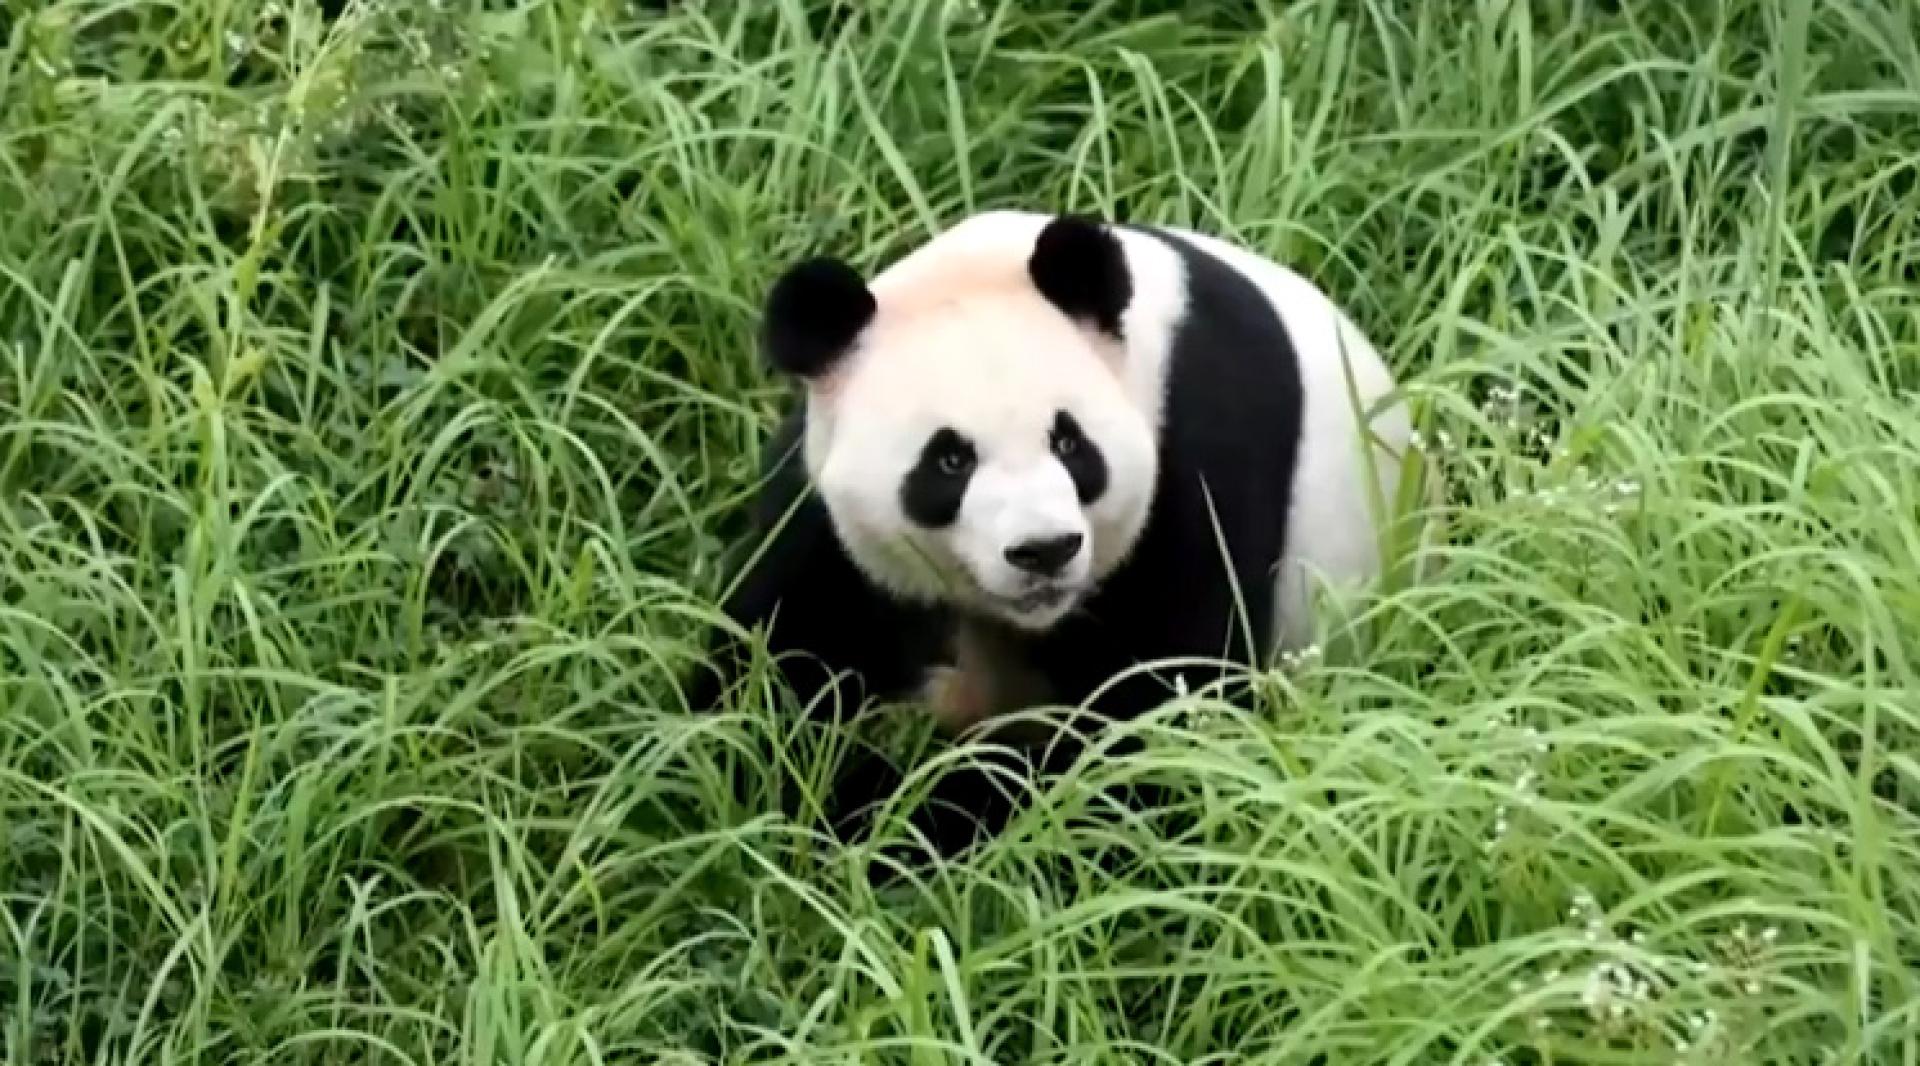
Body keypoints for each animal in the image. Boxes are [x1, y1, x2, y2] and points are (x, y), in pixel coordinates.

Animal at [689, 209, 1424, 858]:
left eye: (1070, 443)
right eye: (949, 460)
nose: (1044, 551)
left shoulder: (1204, 451)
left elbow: (1153, 713)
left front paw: (907, 813)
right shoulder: (819, 509)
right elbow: (780, 653)